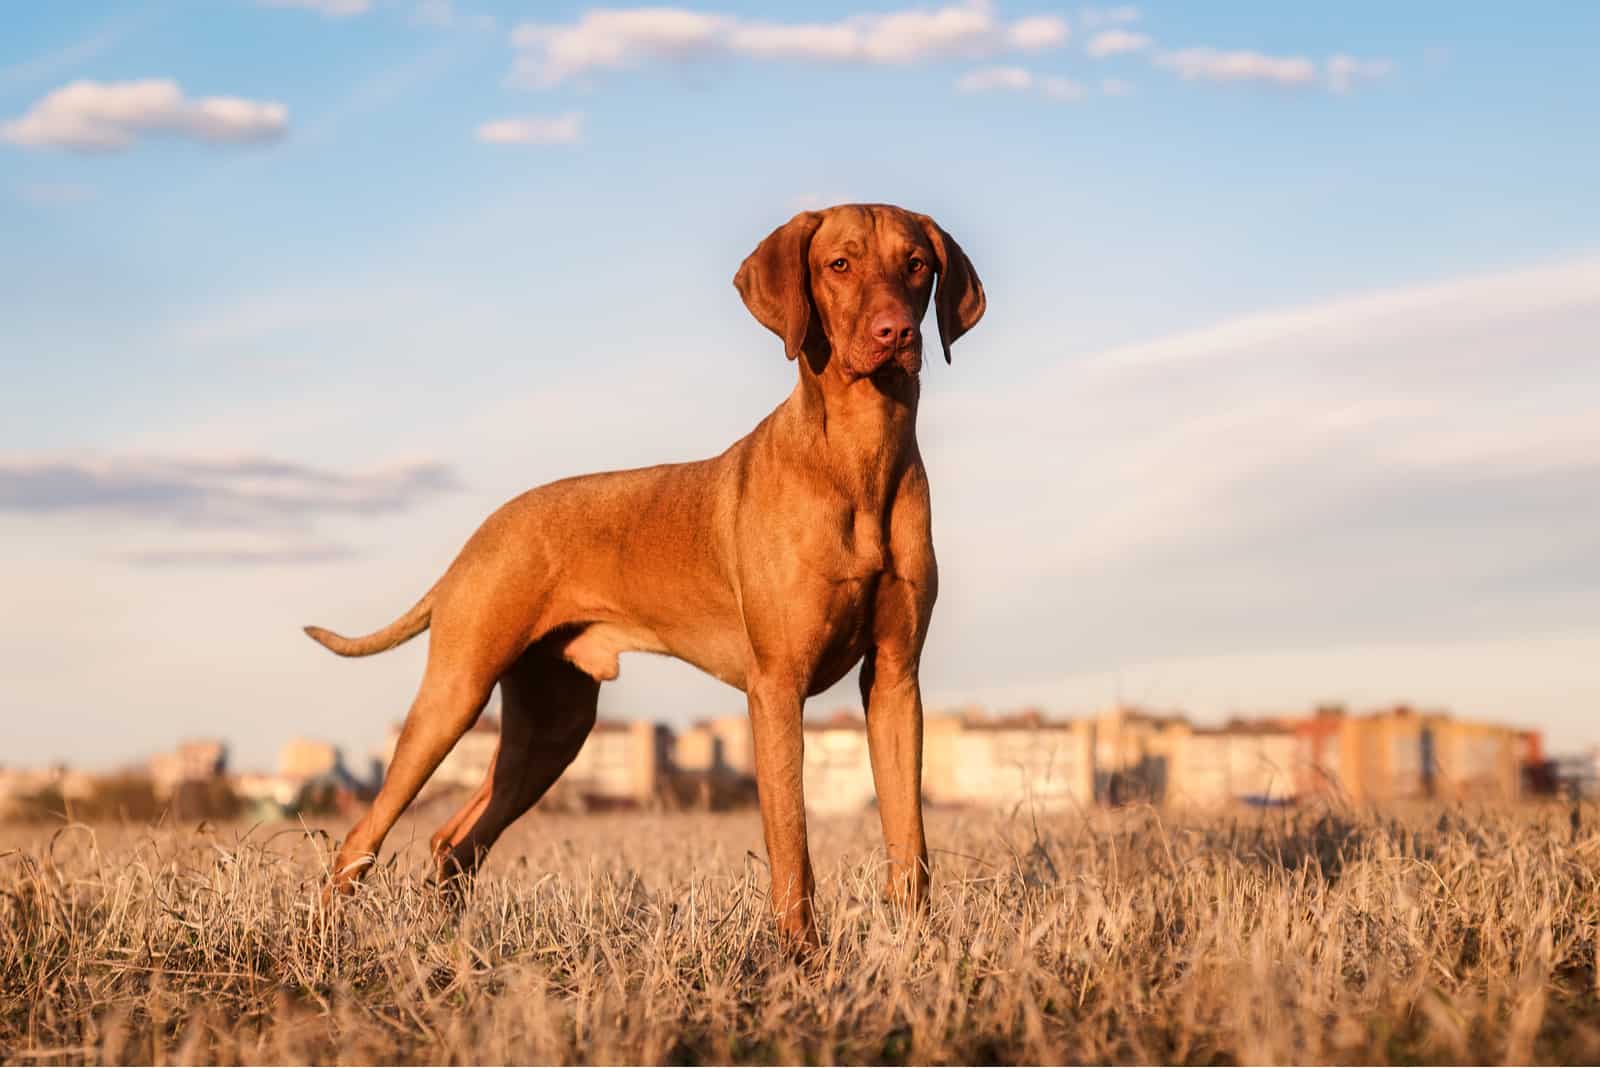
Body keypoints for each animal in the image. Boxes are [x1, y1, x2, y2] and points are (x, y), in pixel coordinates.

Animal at [304, 199, 979, 940]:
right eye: (839, 264)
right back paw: (329, 939)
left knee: (454, 839)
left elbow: (909, 839)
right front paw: (799, 954)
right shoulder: (777, 686)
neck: (858, 456)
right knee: (361, 837)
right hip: (456, 694)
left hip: (554, 725)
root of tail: (480, 536)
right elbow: (791, 843)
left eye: (916, 265)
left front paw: (918, 947)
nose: (898, 332)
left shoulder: (894, 679)